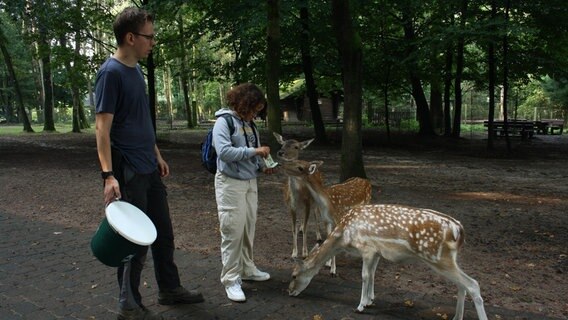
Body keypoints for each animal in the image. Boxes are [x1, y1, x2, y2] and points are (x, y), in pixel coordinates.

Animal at [284, 161, 488, 318]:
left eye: (294, 275)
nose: (289, 291)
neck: (344, 236)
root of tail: (458, 229)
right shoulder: (376, 251)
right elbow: (373, 274)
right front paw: (369, 300)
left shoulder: (366, 248)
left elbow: (365, 275)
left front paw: (360, 306)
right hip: (449, 258)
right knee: (462, 285)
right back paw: (456, 317)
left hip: (438, 258)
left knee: (473, 284)